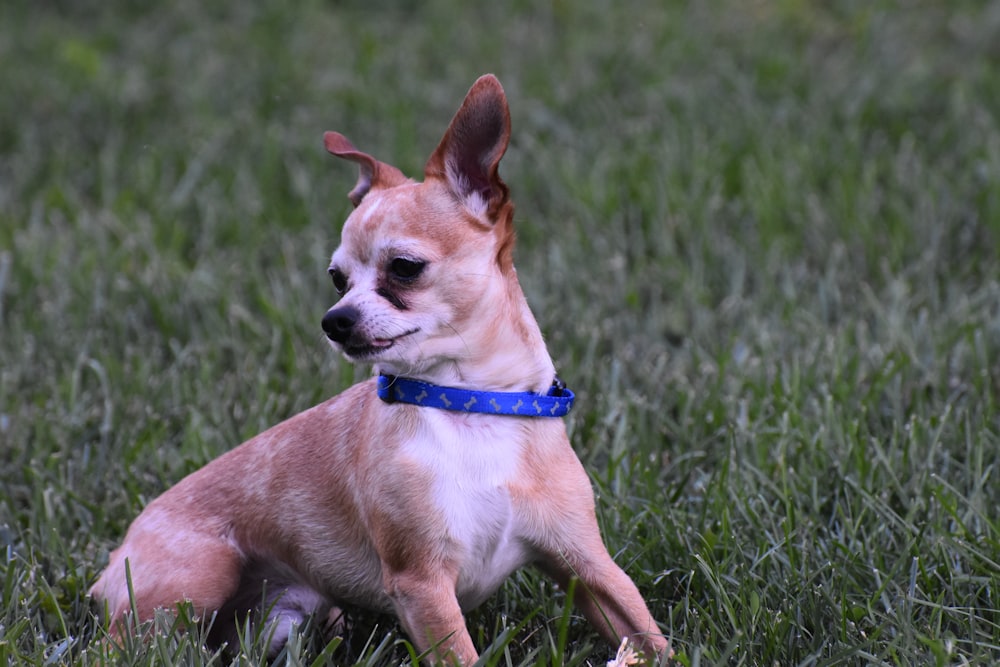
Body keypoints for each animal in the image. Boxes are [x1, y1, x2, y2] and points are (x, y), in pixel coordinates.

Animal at [92, 75, 672, 664]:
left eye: (404, 268)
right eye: (336, 279)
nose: (334, 321)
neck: (470, 406)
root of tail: (116, 556)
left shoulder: (587, 564)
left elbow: (652, 636)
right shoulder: (422, 583)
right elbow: (461, 656)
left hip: (290, 618)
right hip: (196, 581)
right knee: (120, 645)